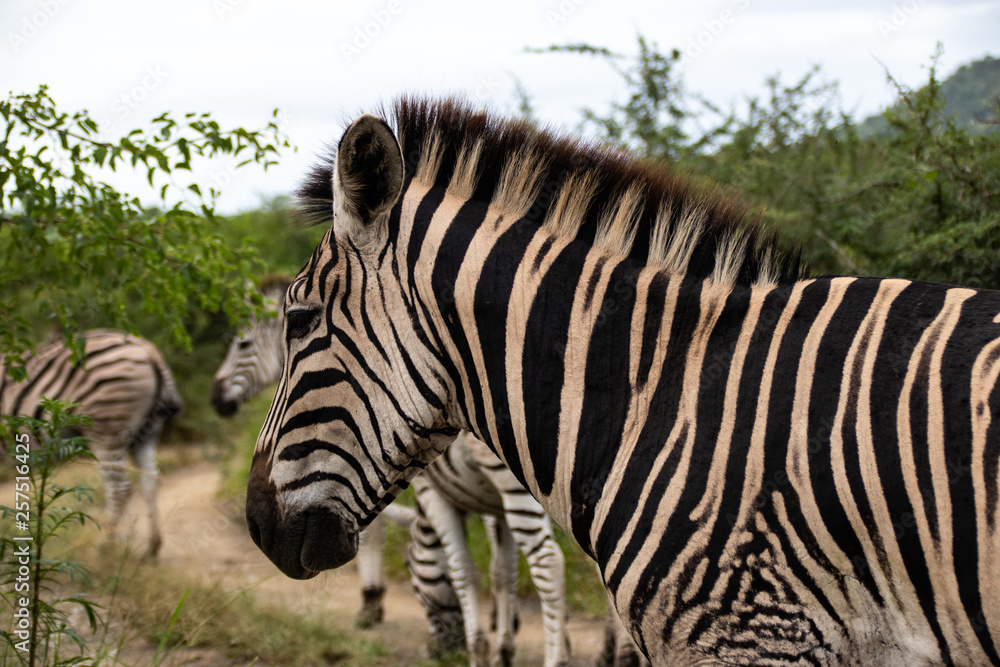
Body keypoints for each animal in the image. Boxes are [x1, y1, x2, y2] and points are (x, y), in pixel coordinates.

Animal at [2, 329, 183, 557]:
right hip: (147, 432)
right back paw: (151, 547)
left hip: (106, 428)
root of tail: (147, 348)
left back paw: (108, 547)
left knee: (120, 489)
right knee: (149, 482)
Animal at [212, 277, 570, 665]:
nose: (215, 400)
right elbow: (501, 569)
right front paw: (504, 641)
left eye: (242, 345)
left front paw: (371, 602)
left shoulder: (370, 471)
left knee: (549, 561)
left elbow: (379, 533)